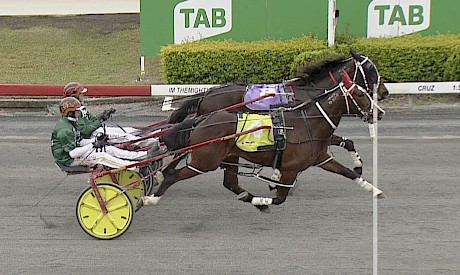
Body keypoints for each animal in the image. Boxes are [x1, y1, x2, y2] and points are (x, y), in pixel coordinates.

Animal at [140, 71, 384, 211]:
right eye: (360, 94)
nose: (379, 112)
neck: (307, 121)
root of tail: (204, 118)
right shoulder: (291, 169)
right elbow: (279, 198)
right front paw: (263, 198)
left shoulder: (321, 158)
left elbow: (348, 171)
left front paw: (373, 188)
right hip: (205, 161)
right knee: (176, 173)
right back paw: (152, 197)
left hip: (226, 156)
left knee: (229, 182)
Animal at [167, 49, 386, 177]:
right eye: (371, 70)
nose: (384, 92)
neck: (309, 92)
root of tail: (207, 94)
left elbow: (347, 142)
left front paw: (357, 165)